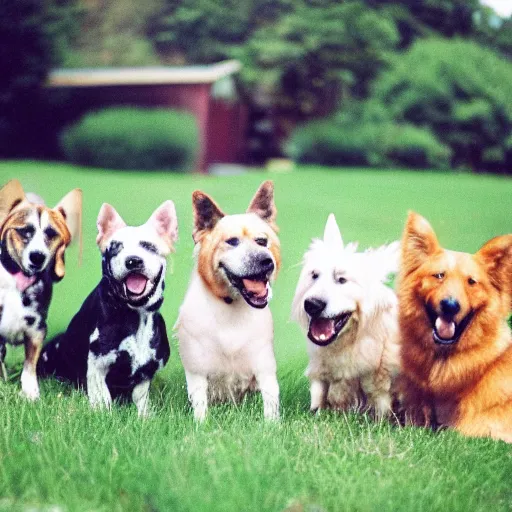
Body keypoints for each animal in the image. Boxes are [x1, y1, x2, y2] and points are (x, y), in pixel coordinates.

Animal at [0, 180, 81, 400]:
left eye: (51, 234)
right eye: (24, 231)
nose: (38, 256)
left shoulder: (36, 329)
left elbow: (30, 365)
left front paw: (31, 393)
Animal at [38, 200, 178, 416]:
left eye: (149, 246)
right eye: (116, 248)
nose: (133, 260)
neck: (134, 313)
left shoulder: (145, 374)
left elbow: (141, 399)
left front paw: (144, 416)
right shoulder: (97, 367)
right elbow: (102, 400)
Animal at [175, 182, 280, 422]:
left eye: (262, 241)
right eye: (232, 242)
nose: (266, 261)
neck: (230, 304)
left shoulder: (264, 366)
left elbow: (271, 400)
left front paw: (272, 425)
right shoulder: (197, 368)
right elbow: (200, 404)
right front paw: (201, 424)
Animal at [292, 214, 400, 418]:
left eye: (341, 280)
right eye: (314, 275)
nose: (312, 305)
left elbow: (382, 405)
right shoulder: (322, 374)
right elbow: (319, 398)